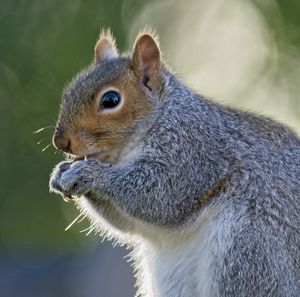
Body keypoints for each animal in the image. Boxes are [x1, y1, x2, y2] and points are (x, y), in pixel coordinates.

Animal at [49, 28, 300, 296]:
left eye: (110, 100)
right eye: (69, 92)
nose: (60, 141)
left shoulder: (194, 151)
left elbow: (161, 194)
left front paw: (87, 173)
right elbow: (127, 222)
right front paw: (60, 172)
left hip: (249, 248)